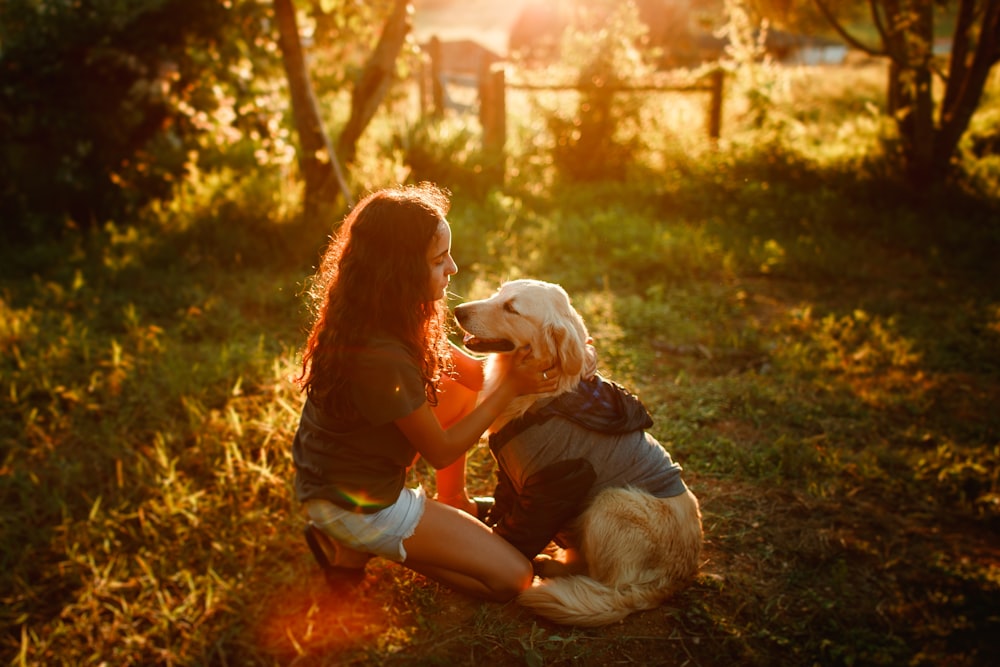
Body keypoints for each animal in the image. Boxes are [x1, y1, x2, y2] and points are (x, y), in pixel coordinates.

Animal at [456, 280, 704, 628]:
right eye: (498, 293)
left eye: (511, 308)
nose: (457, 310)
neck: (546, 400)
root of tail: (675, 580)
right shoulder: (510, 476)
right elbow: (503, 507)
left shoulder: (551, 485)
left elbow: (516, 533)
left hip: (612, 501)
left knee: (602, 580)